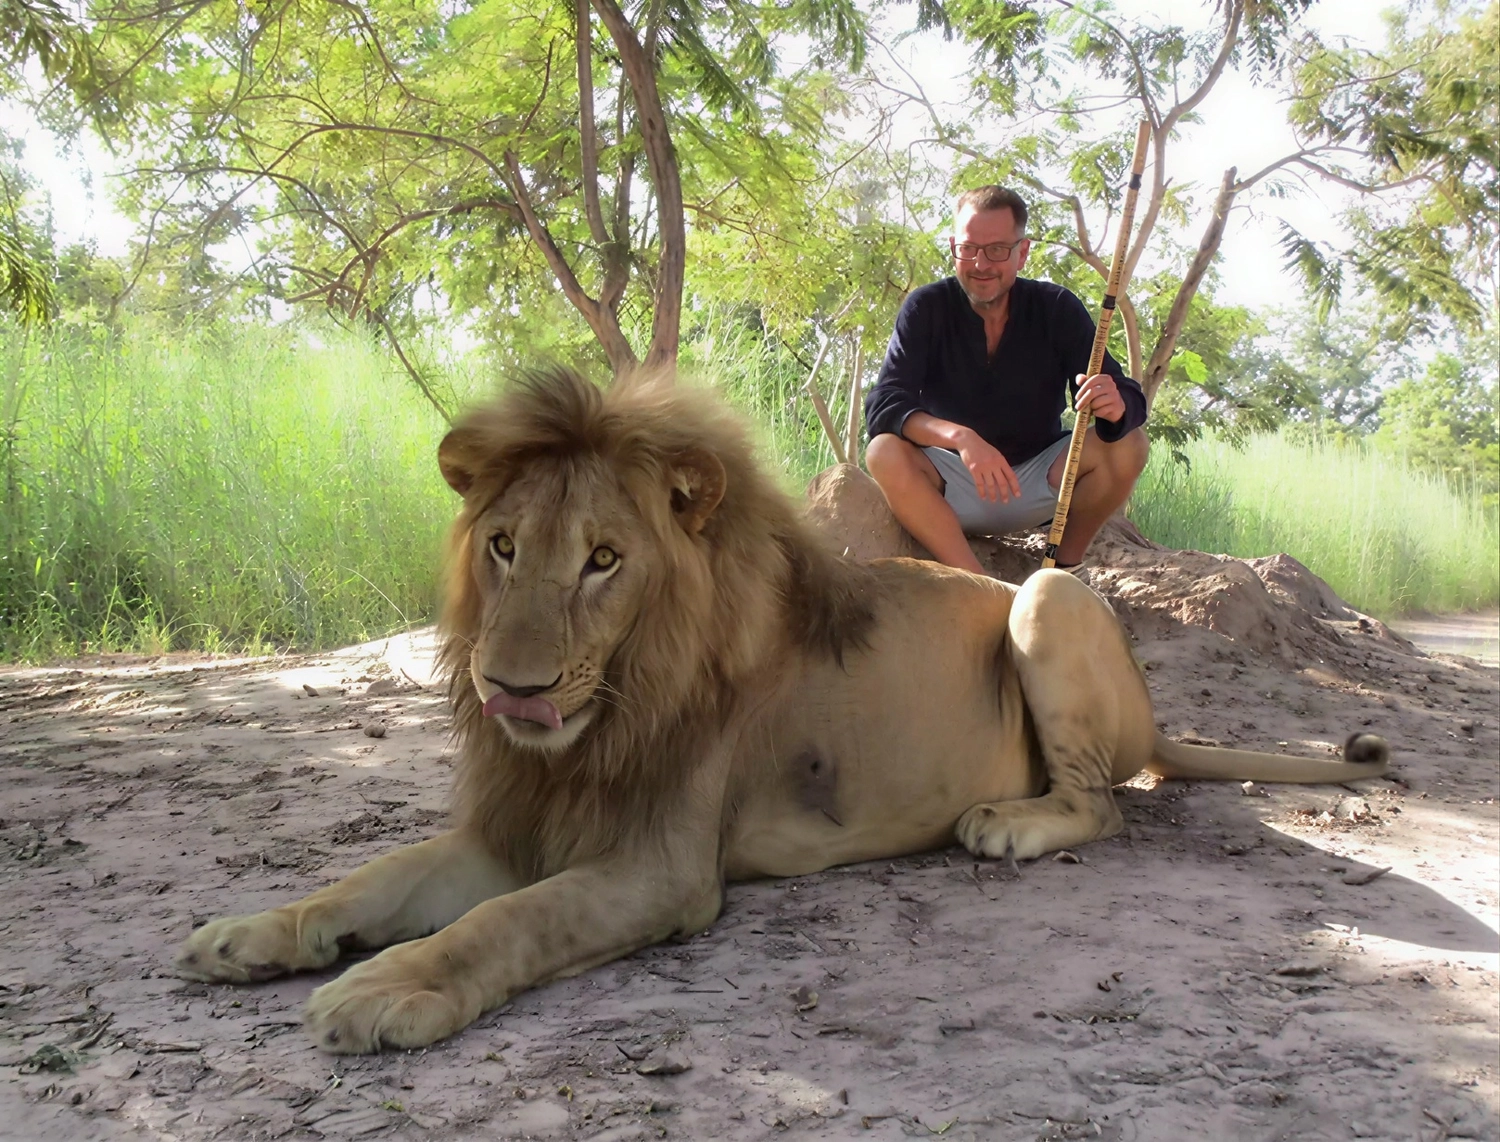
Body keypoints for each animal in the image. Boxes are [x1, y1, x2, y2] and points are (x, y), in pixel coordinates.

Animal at [174, 367, 1389, 1053]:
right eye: (504, 546)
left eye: (604, 560)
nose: (510, 687)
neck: (608, 709)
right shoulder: (517, 821)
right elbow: (375, 879)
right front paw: (259, 932)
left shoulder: (662, 867)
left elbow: (500, 923)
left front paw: (385, 987)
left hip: (1048, 598)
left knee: (1104, 803)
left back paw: (1008, 823)